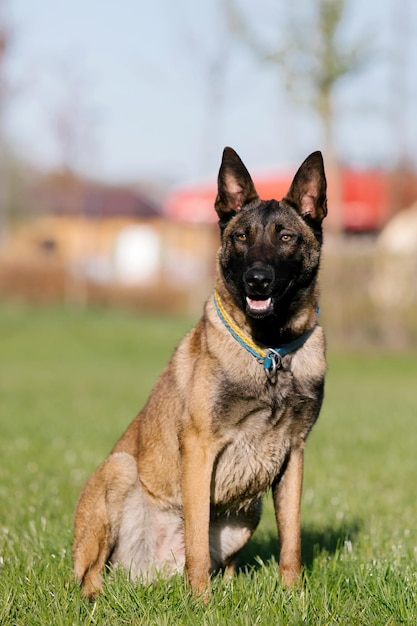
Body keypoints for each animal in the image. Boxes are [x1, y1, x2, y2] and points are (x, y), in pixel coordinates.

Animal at [74, 146, 328, 600]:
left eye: (286, 237)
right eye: (242, 236)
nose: (257, 280)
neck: (269, 351)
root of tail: (148, 572)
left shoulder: (294, 454)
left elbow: (292, 541)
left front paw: (293, 596)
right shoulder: (199, 448)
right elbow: (195, 536)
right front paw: (201, 603)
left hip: (249, 511)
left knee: (223, 563)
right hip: (119, 470)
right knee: (91, 572)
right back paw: (97, 600)